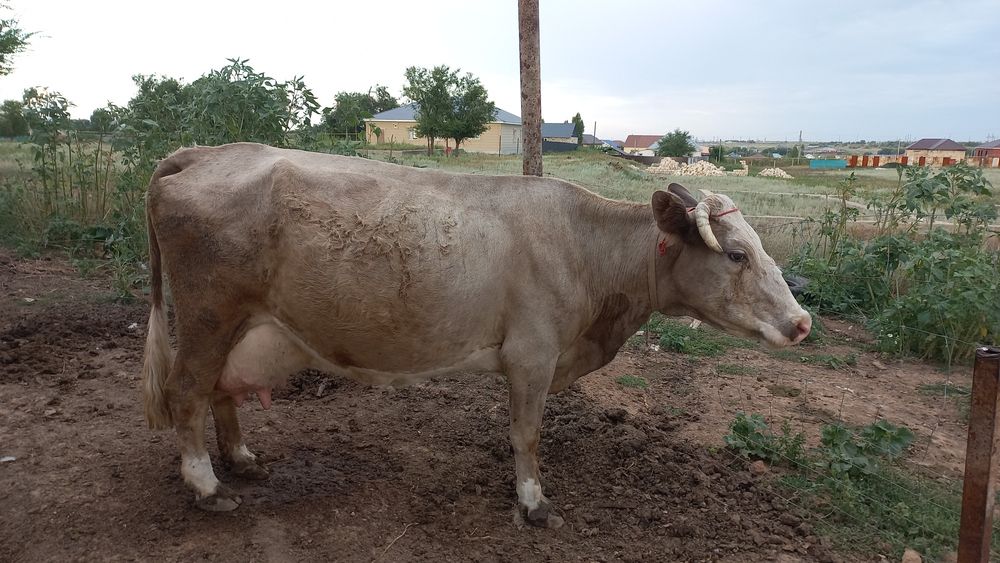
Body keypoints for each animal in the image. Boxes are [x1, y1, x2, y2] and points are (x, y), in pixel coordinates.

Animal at [141, 142, 810, 527]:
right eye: (736, 254)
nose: (802, 322)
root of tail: (199, 152)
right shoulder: (533, 355)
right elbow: (527, 434)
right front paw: (534, 505)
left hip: (240, 323)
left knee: (220, 390)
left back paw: (241, 458)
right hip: (207, 313)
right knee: (187, 392)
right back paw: (206, 486)